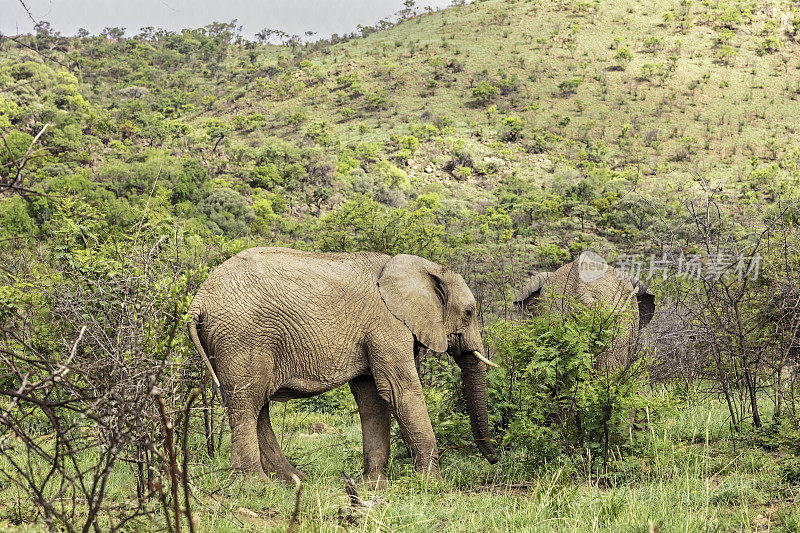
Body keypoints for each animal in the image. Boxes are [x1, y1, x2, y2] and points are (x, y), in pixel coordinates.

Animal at [190, 247, 496, 484]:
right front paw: (433, 484)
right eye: (469, 312)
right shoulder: (387, 324)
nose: (495, 459)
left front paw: (373, 485)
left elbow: (373, 398)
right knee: (248, 402)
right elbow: (400, 390)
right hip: (243, 337)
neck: (423, 267)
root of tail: (198, 300)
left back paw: (294, 480)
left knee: (254, 405)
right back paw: (255, 484)